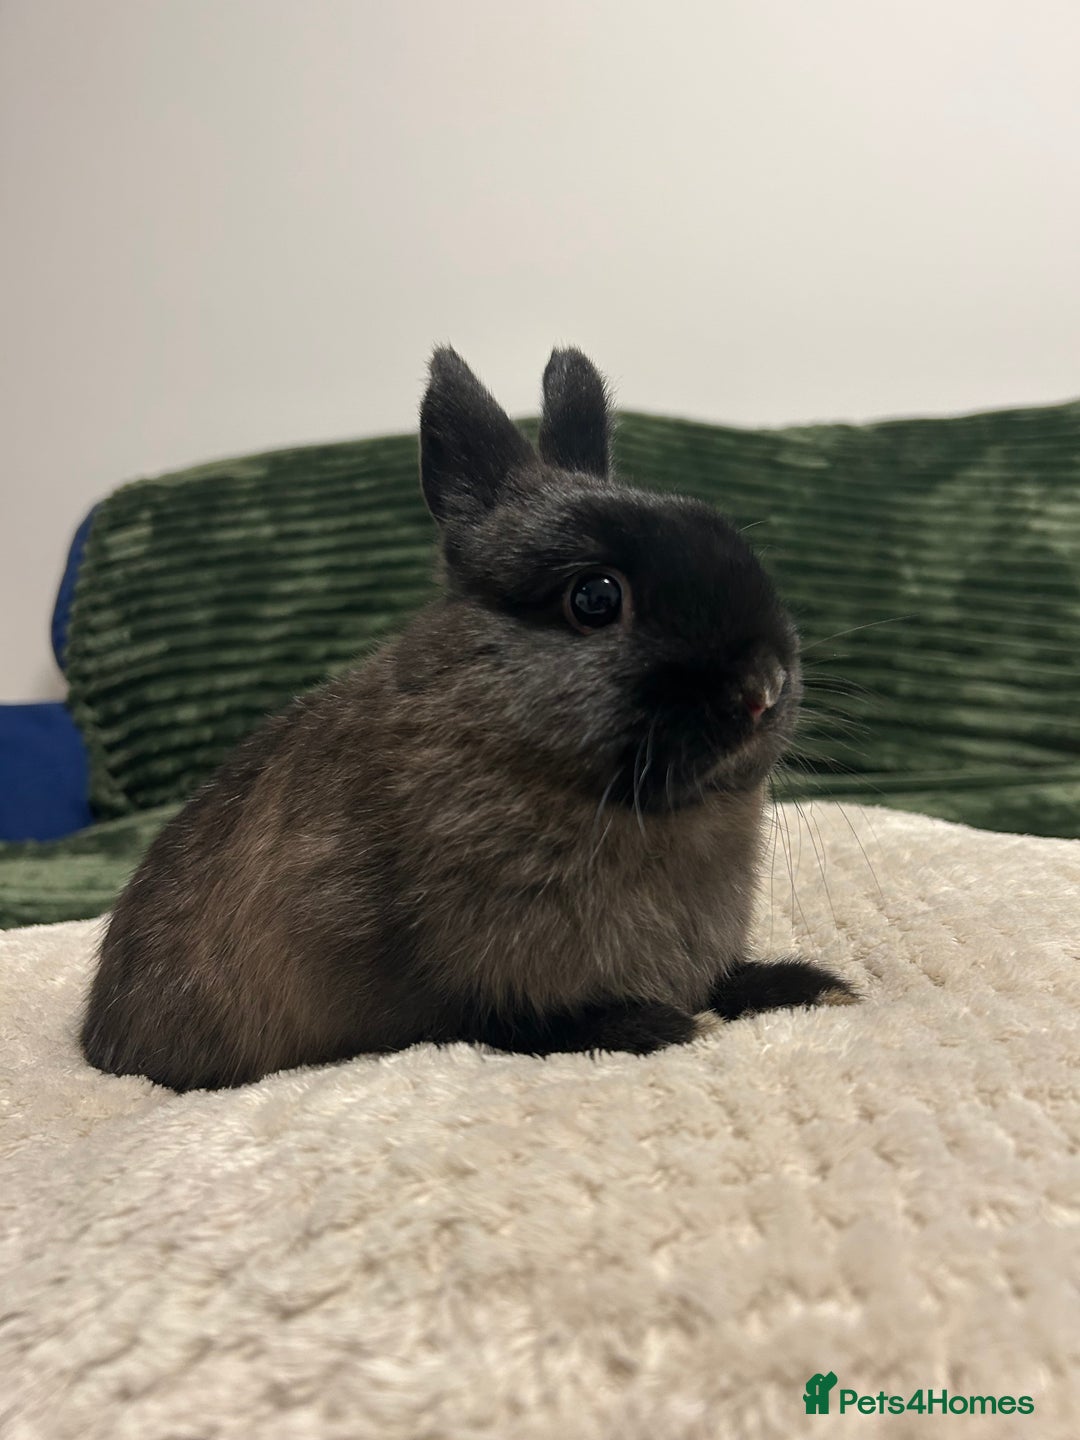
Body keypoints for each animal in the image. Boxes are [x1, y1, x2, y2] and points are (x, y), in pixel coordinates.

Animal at [80, 346, 855, 1092]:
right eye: (596, 598)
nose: (764, 688)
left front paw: (813, 988)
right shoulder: (469, 982)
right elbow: (518, 1023)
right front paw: (658, 1025)